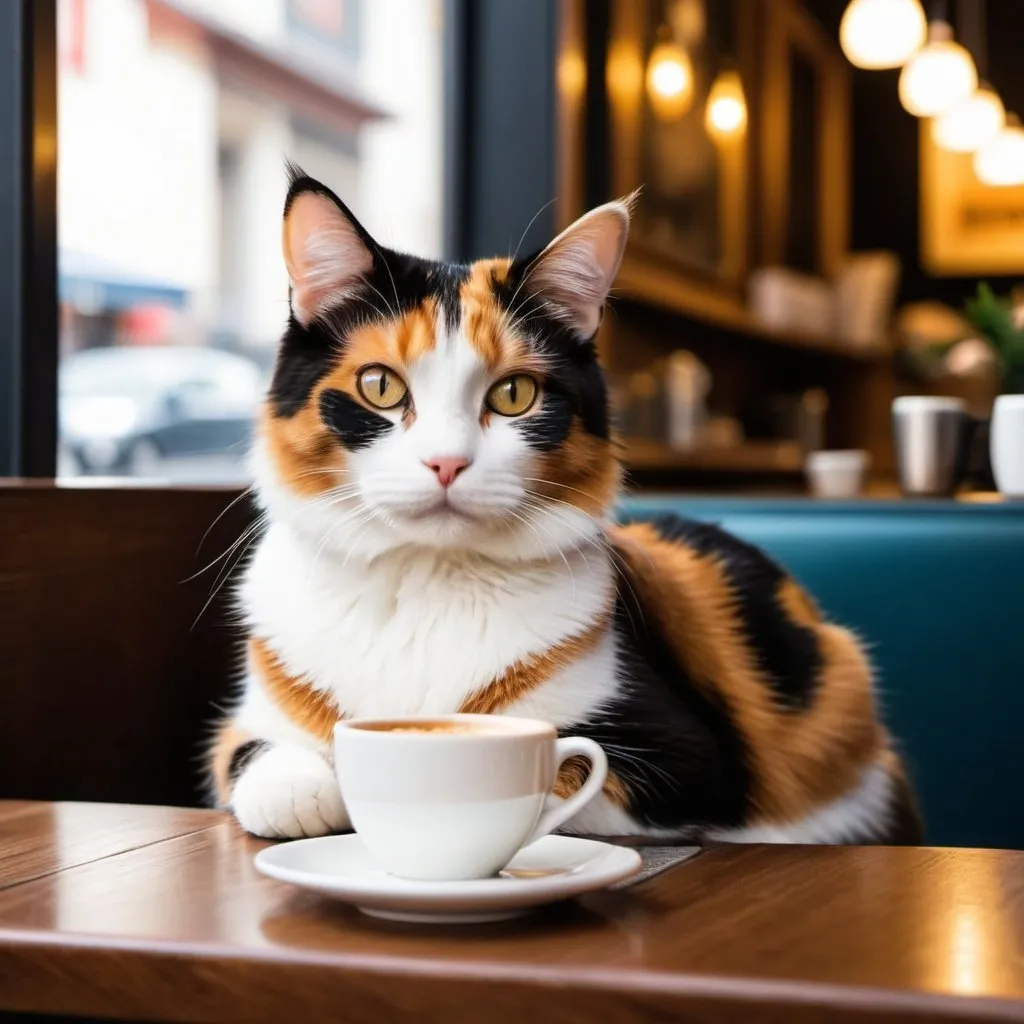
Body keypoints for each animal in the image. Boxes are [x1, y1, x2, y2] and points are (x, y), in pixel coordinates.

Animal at [205, 165, 921, 839]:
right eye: (380, 386)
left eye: (514, 395)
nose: (446, 463)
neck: (424, 583)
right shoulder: (248, 723)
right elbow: (252, 757)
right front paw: (305, 793)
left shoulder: (684, 757)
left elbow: (560, 768)